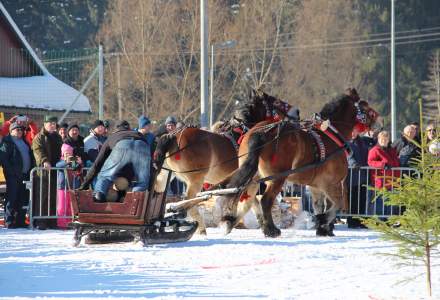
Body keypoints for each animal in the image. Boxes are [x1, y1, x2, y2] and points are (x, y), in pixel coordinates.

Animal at [153, 89, 298, 234]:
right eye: (277, 102)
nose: (297, 111)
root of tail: (173, 135)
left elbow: (252, 203)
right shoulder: (250, 180)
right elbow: (248, 203)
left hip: (167, 175)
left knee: (158, 190)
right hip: (195, 180)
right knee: (190, 202)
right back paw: (201, 228)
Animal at [217, 88, 378, 238]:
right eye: (365, 107)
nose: (378, 123)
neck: (332, 136)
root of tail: (261, 131)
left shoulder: (315, 186)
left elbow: (319, 205)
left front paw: (323, 228)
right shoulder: (331, 184)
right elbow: (337, 205)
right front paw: (322, 221)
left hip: (254, 177)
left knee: (246, 197)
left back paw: (230, 221)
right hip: (277, 178)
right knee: (265, 201)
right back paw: (271, 230)